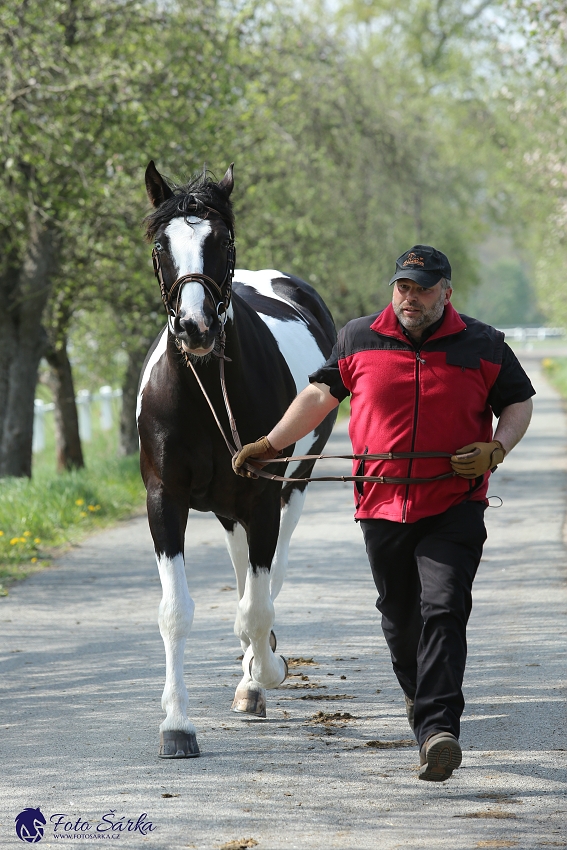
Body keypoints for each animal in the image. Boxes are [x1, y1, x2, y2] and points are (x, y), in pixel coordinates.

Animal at [138, 161, 340, 756]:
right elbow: (176, 612)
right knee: (242, 566)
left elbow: (257, 605)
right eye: (160, 243)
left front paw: (266, 671)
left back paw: (256, 673)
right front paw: (177, 726)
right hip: (228, 508)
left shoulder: (264, 497)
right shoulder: (165, 499)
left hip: (292, 488)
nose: (195, 328)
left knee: (268, 580)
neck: (204, 387)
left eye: (221, 240)